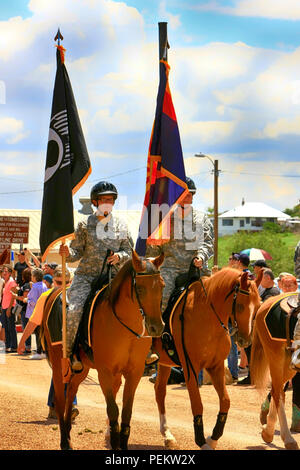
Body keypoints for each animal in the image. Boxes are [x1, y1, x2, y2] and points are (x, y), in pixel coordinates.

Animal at [40, 252, 164, 450]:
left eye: (162, 285)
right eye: (141, 288)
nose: (156, 327)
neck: (126, 328)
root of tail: (54, 293)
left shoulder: (134, 372)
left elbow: (126, 412)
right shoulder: (105, 372)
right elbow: (113, 410)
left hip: (82, 369)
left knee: (71, 392)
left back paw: (68, 431)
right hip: (59, 365)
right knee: (60, 398)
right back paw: (64, 441)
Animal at [151, 266, 262, 450]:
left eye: (259, 305)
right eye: (240, 306)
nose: (246, 340)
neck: (207, 317)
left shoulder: (216, 366)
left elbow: (225, 401)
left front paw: (213, 438)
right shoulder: (191, 368)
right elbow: (197, 404)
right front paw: (201, 441)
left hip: (164, 362)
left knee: (160, 391)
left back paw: (168, 435)